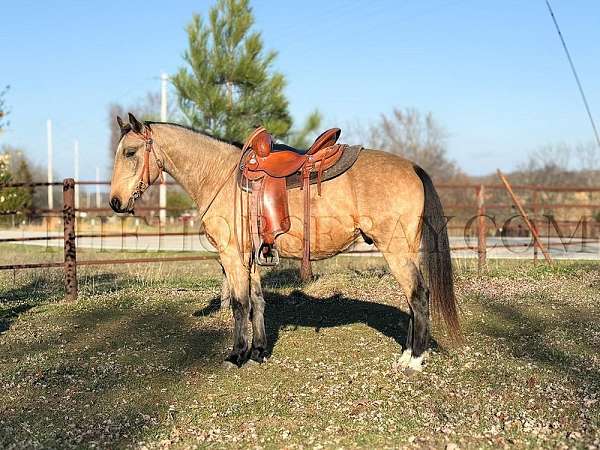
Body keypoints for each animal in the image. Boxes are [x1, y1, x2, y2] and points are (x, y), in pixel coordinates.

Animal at [110, 113, 462, 372]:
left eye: (130, 153)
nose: (115, 202)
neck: (219, 175)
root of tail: (412, 167)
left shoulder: (233, 257)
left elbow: (239, 305)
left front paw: (237, 355)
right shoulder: (250, 258)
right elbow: (257, 302)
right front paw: (259, 351)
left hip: (396, 249)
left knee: (418, 296)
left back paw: (414, 360)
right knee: (414, 299)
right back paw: (408, 353)